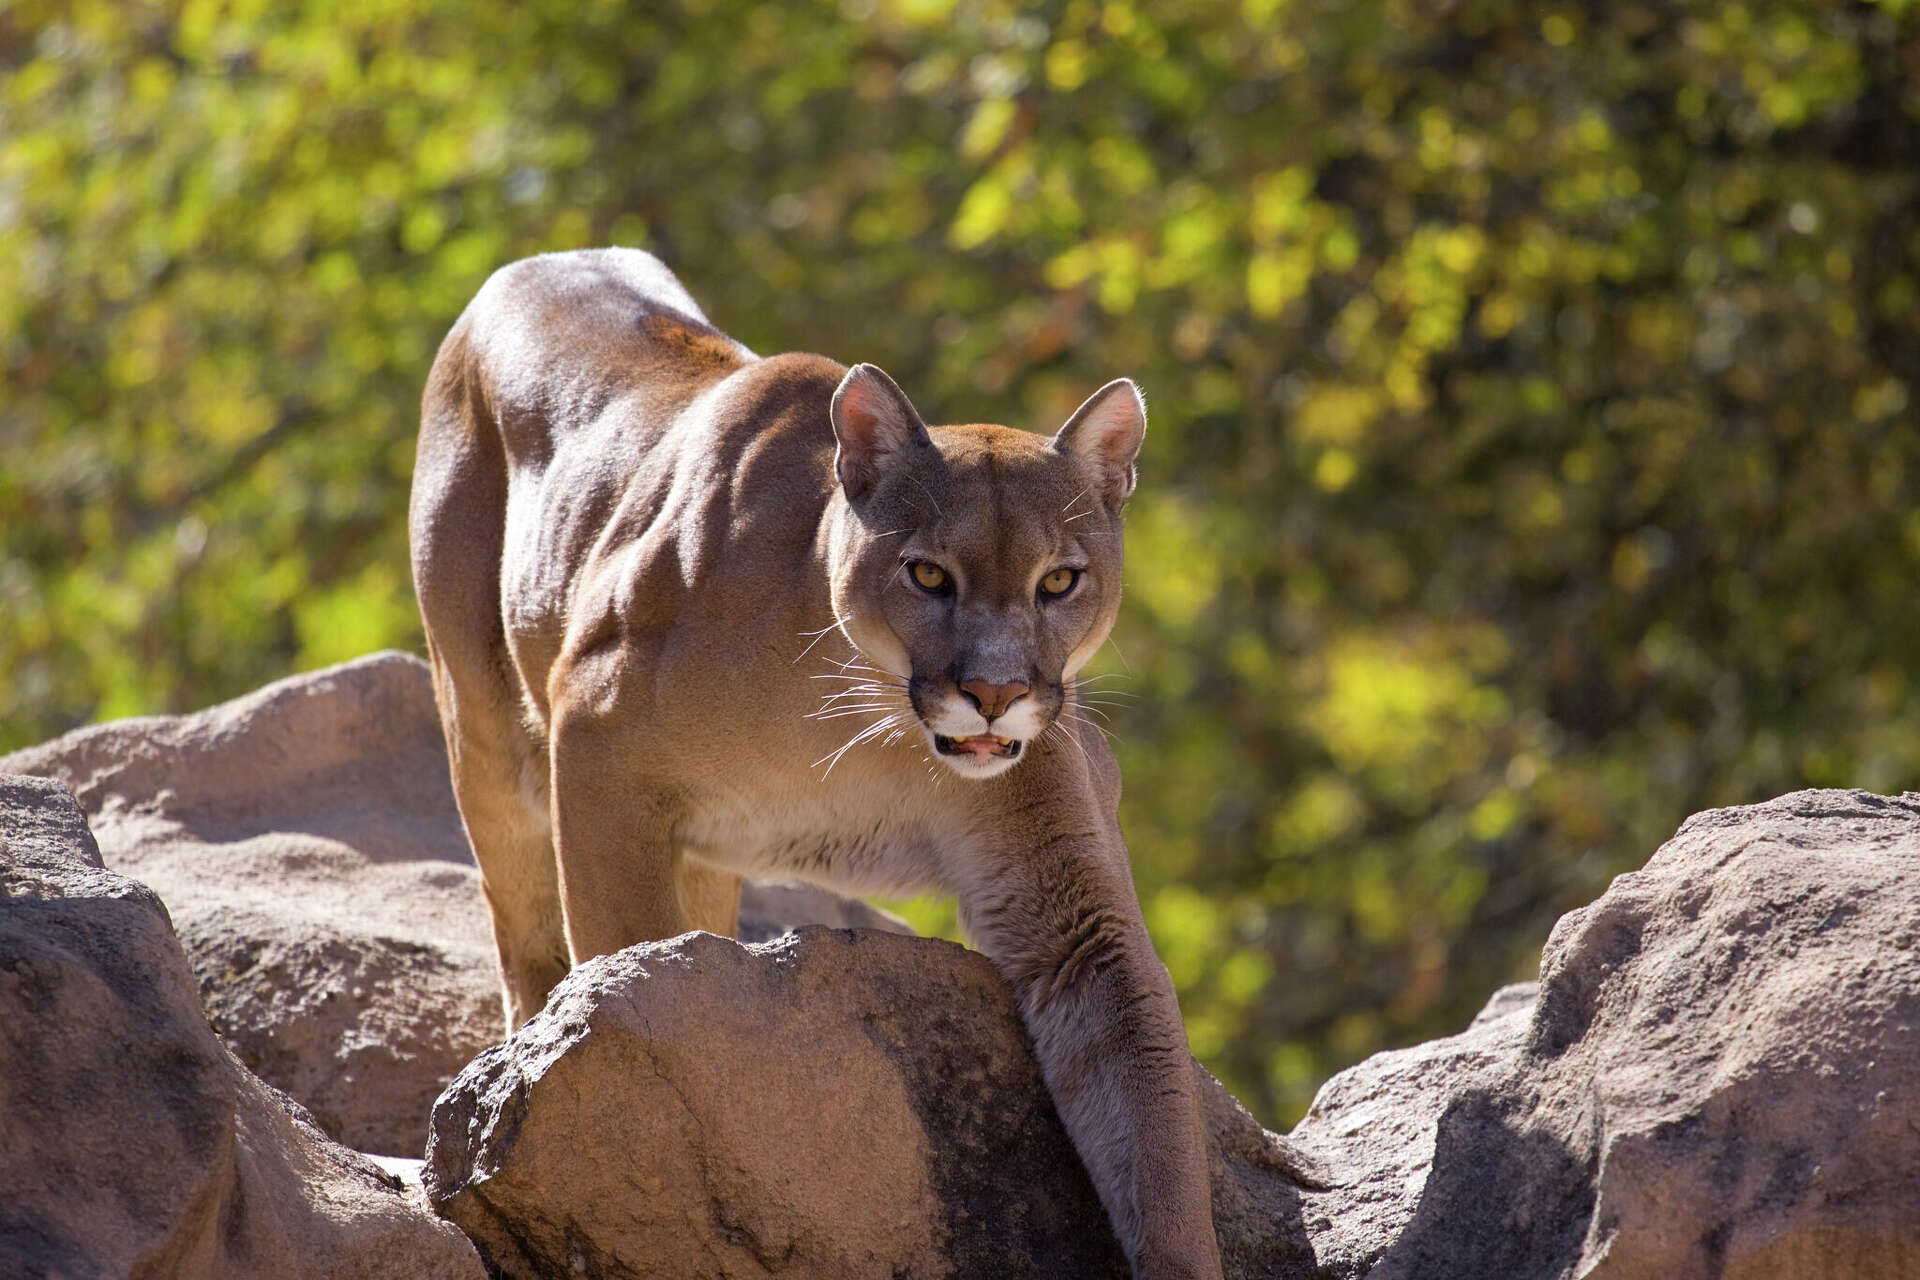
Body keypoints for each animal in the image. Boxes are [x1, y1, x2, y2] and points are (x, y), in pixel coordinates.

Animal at [410, 249, 1221, 1280]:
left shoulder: (1077, 912)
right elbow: (616, 967)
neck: (866, 720)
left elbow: (1145, 1100)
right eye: (928, 574)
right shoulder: (592, 741)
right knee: (525, 931)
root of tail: (539, 259)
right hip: (485, 730)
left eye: (1060, 581)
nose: (995, 692)